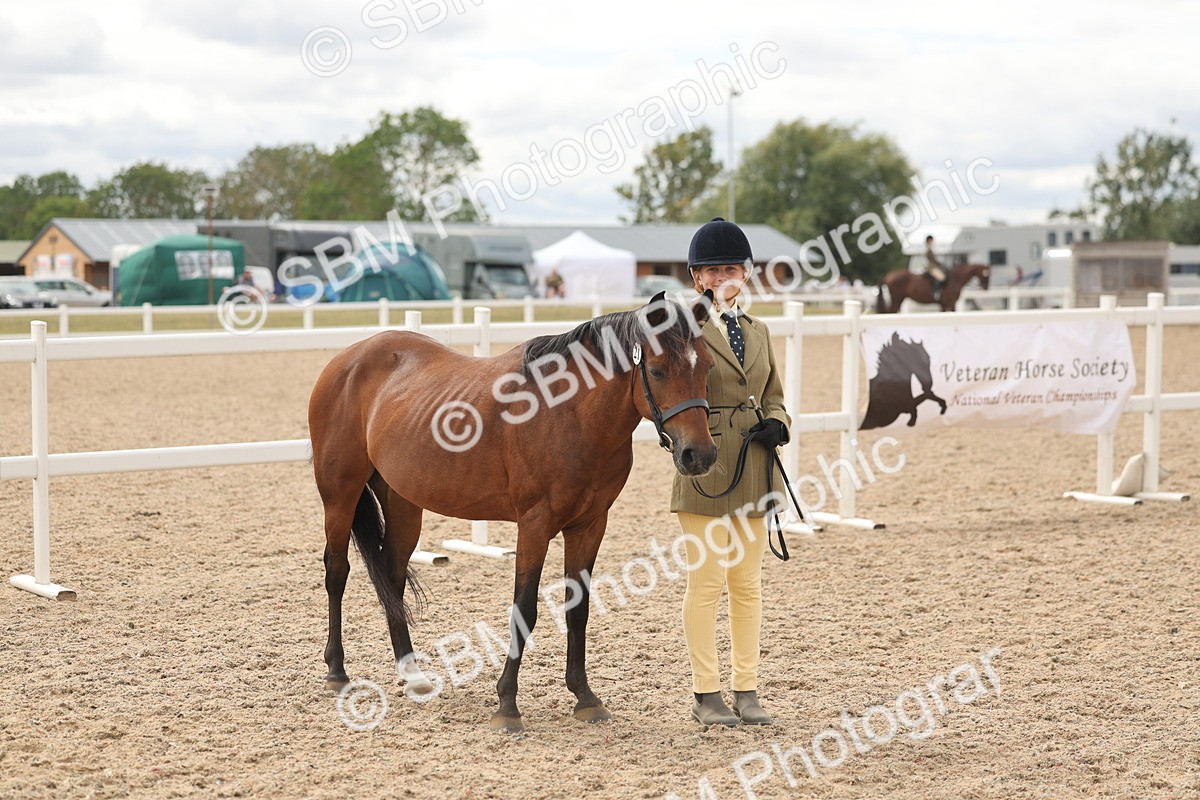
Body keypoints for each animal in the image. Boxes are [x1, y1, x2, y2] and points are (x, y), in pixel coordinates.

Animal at [309, 291, 718, 733]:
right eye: (657, 371)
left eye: (707, 367)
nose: (699, 455)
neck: (570, 413)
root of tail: (348, 358)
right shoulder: (535, 525)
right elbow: (525, 609)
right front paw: (507, 704)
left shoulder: (589, 526)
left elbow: (578, 609)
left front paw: (585, 697)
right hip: (340, 494)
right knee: (337, 571)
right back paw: (337, 671)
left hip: (403, 503)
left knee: (393, 576)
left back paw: (412, 673)